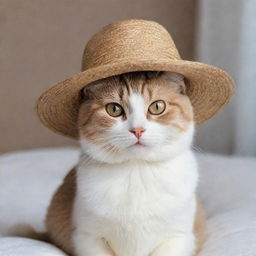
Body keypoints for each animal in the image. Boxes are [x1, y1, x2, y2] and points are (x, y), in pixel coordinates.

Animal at [46, 70, 206, 256]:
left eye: (157, 107)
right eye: (114, 109)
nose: (137, 130)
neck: (136, 171)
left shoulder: (178, 237)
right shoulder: (88, 237)